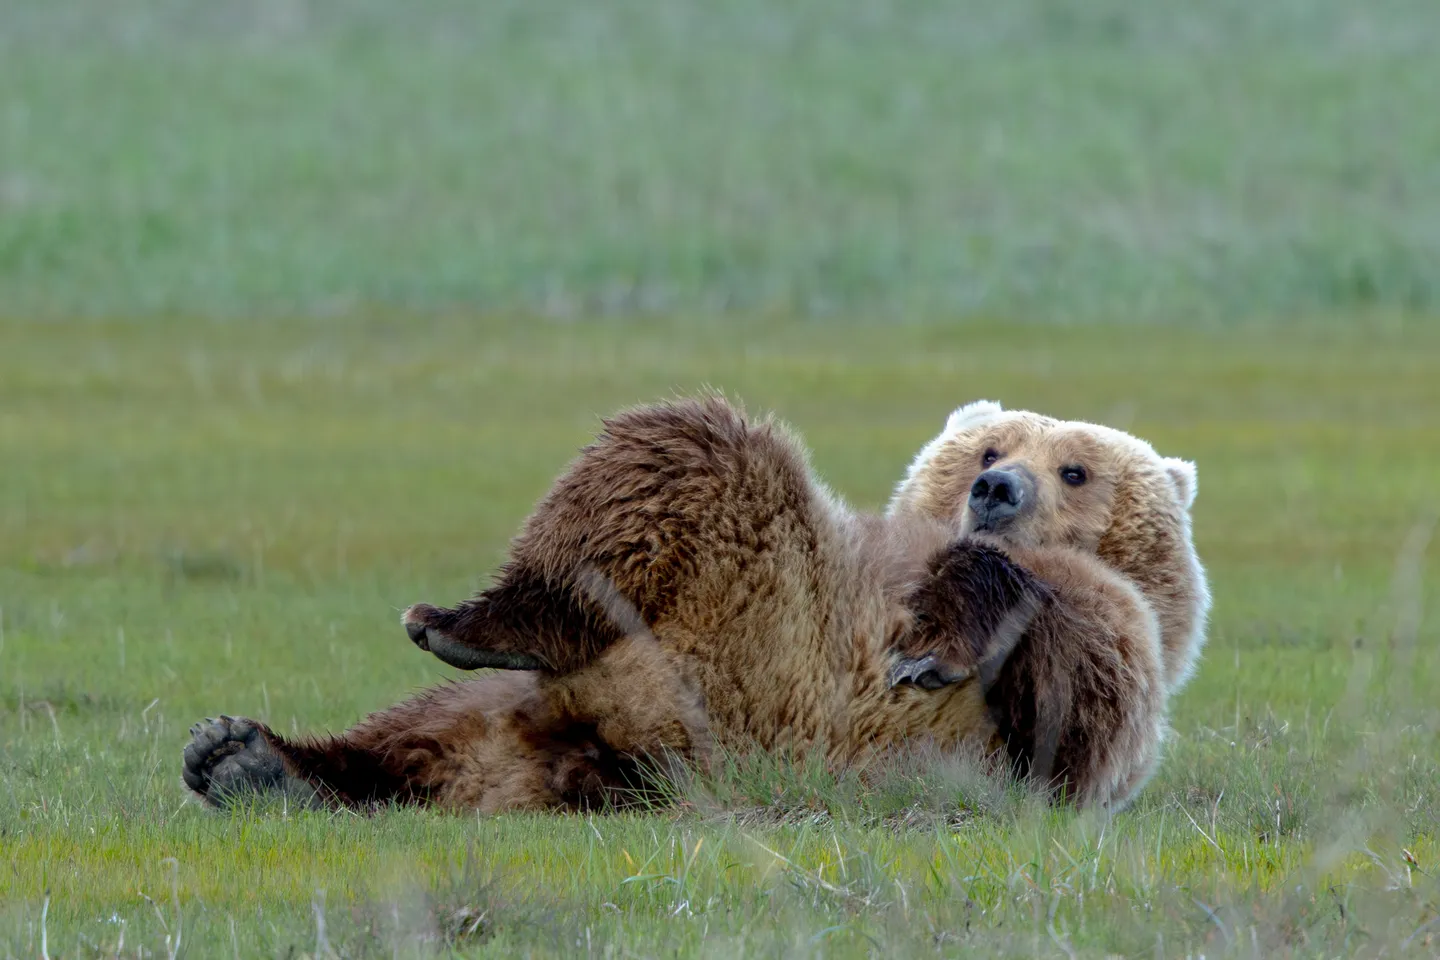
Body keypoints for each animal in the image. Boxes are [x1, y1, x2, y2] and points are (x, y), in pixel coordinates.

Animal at [182, 396, 1208, 812]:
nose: (996, 487)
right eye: (991, 444)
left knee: (692, 440)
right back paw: (246, 753)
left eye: (1074, 467)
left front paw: (933, 649)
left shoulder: (1115, 645)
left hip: (754, 606)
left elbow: (1073, 700)